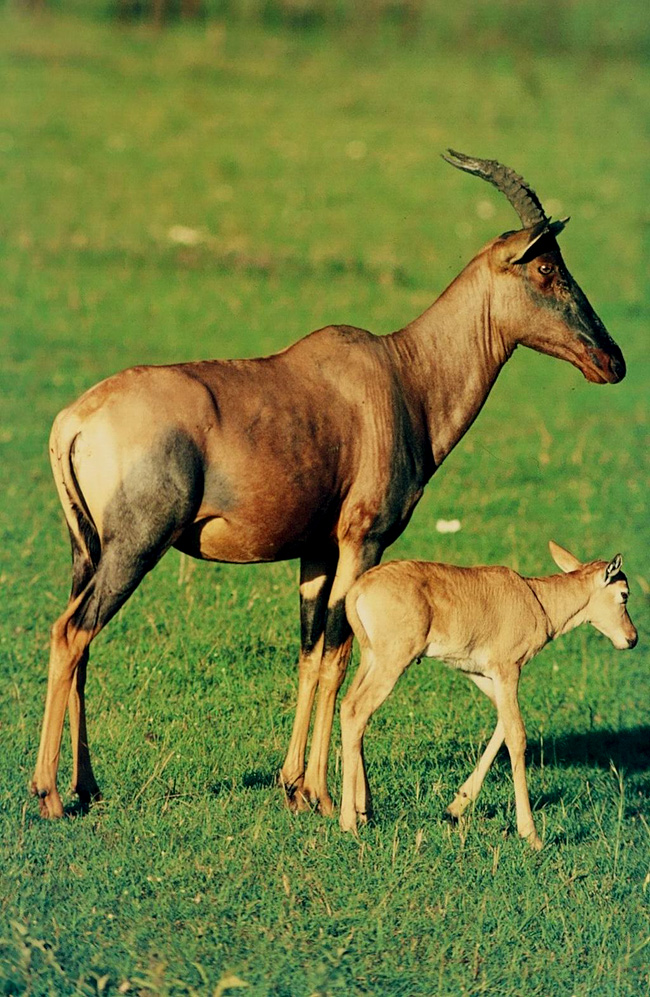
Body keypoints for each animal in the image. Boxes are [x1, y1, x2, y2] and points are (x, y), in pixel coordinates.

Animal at [34, 150, 624, 816]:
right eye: (546, 266)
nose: (612, 360)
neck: (401, 374)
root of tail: (76, 418)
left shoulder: (315, 550)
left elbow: (311, 655)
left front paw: (293, 785)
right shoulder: (362, 540)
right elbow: (342, 654)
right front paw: (323, 793)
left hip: (87, 550)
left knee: (80, 640)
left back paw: (87, 786)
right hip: (136, 546)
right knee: (71, 632)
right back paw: (49, 791)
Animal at [340, 540, 636, 844]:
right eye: (624, 594)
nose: (631, 638)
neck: (536, 598)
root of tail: (358, 589)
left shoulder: (482, 675)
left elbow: (502, 725)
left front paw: (456, 806)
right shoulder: (507, 671)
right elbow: (517, 735)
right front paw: (531, 834)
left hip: (371, 659)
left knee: (347, 705)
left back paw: (364, 810)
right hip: (393, 662)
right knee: (356, 710)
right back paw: (348, 822)